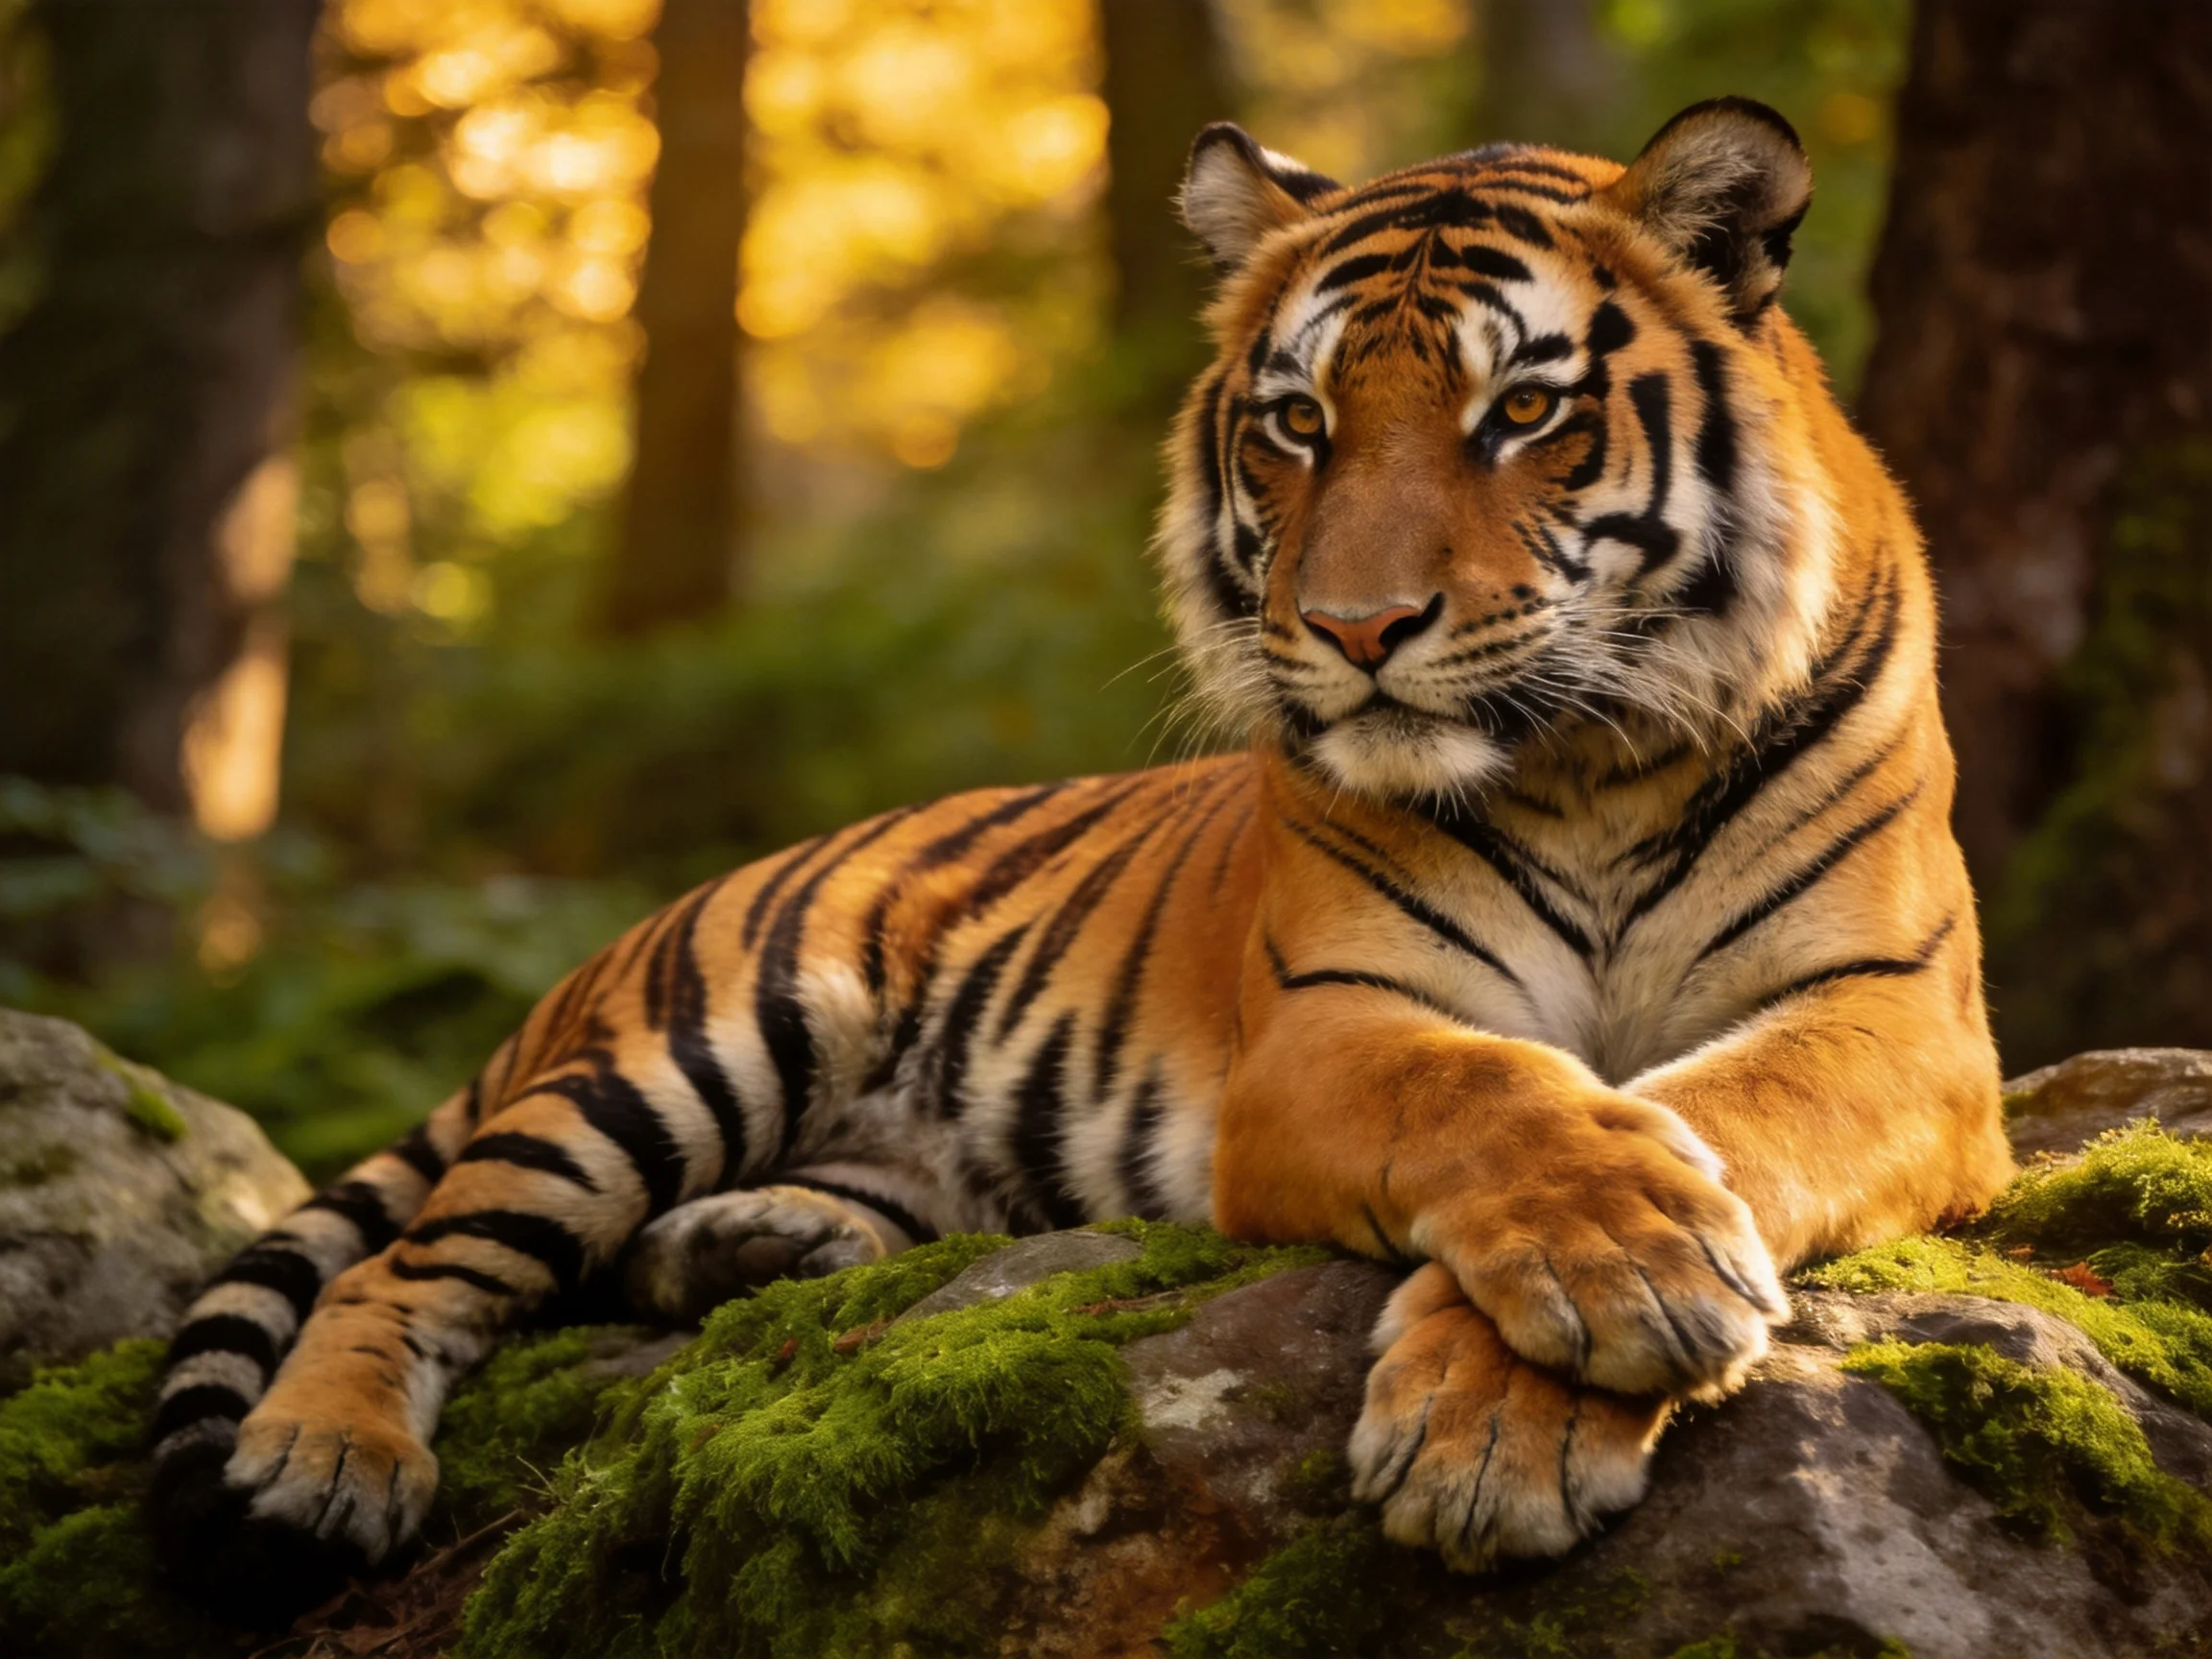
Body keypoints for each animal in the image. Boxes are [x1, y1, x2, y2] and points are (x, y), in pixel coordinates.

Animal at [150, 97, 2015, 1604]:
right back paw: (324, 1462)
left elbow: (1733, 1103)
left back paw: (758, 1250)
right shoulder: (1329, 1023)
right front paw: (1618, 1271)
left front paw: (1507, 1422)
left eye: (1521, 413)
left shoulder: (1901, 1019)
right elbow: (1499, 1095)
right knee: (406, 1264)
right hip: (698, 1042)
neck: (1590, 761)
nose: (1353, 630)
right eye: (1296, 423)